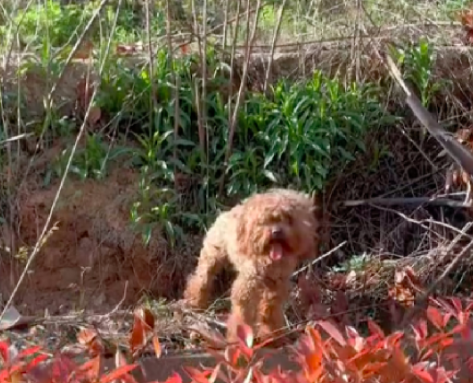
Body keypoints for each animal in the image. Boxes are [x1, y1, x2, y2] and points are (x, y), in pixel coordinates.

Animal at [181, 188, 320, 344]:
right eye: (265, 221)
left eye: (288, 219)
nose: (276, 232)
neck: (268, 260)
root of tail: (226, 213)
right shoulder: (248, 284)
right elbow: (242, 313)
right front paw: (238, 338)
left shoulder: (276, 286)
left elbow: (270, 312)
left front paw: (274, 336)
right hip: (211, 256)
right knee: (201, 280)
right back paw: (194, 303)